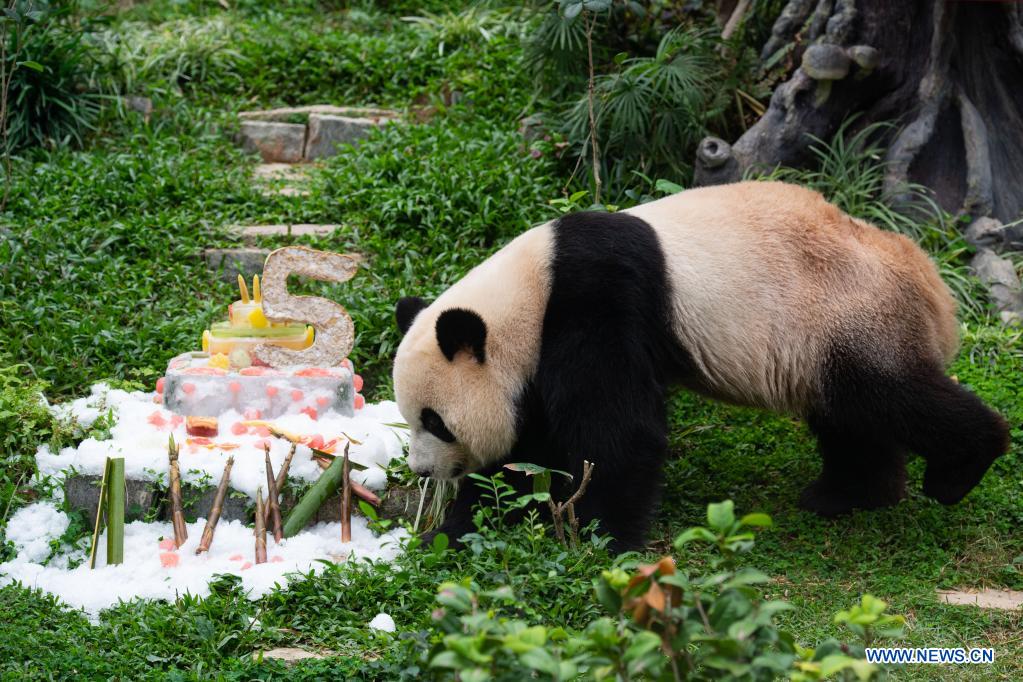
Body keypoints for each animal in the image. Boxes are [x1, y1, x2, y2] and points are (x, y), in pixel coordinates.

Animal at [388, 179, 1006, 548]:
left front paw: (604, 535)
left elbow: (616, 432)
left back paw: (960, 467)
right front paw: (459, 526)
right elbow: (530, 451)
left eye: (435, 421)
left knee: (892, 396)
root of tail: (933, 285)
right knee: (849, 417)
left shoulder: (596, 297)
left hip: (849, 312)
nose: (422, 472)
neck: (529, 290)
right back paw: (849, 494)